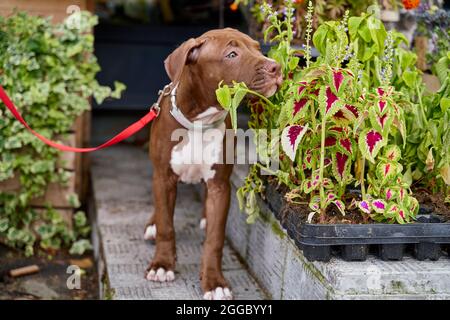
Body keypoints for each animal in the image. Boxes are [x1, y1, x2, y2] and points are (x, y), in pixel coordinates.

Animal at [144, 28, 282, 300]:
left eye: (257, 48)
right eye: (232, 54)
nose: (276, 67)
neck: (199, 121)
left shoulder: (220, 184)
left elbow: (215, 239)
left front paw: (214, 282)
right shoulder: (164, 177)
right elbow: (166, 224)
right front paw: (162, 264)